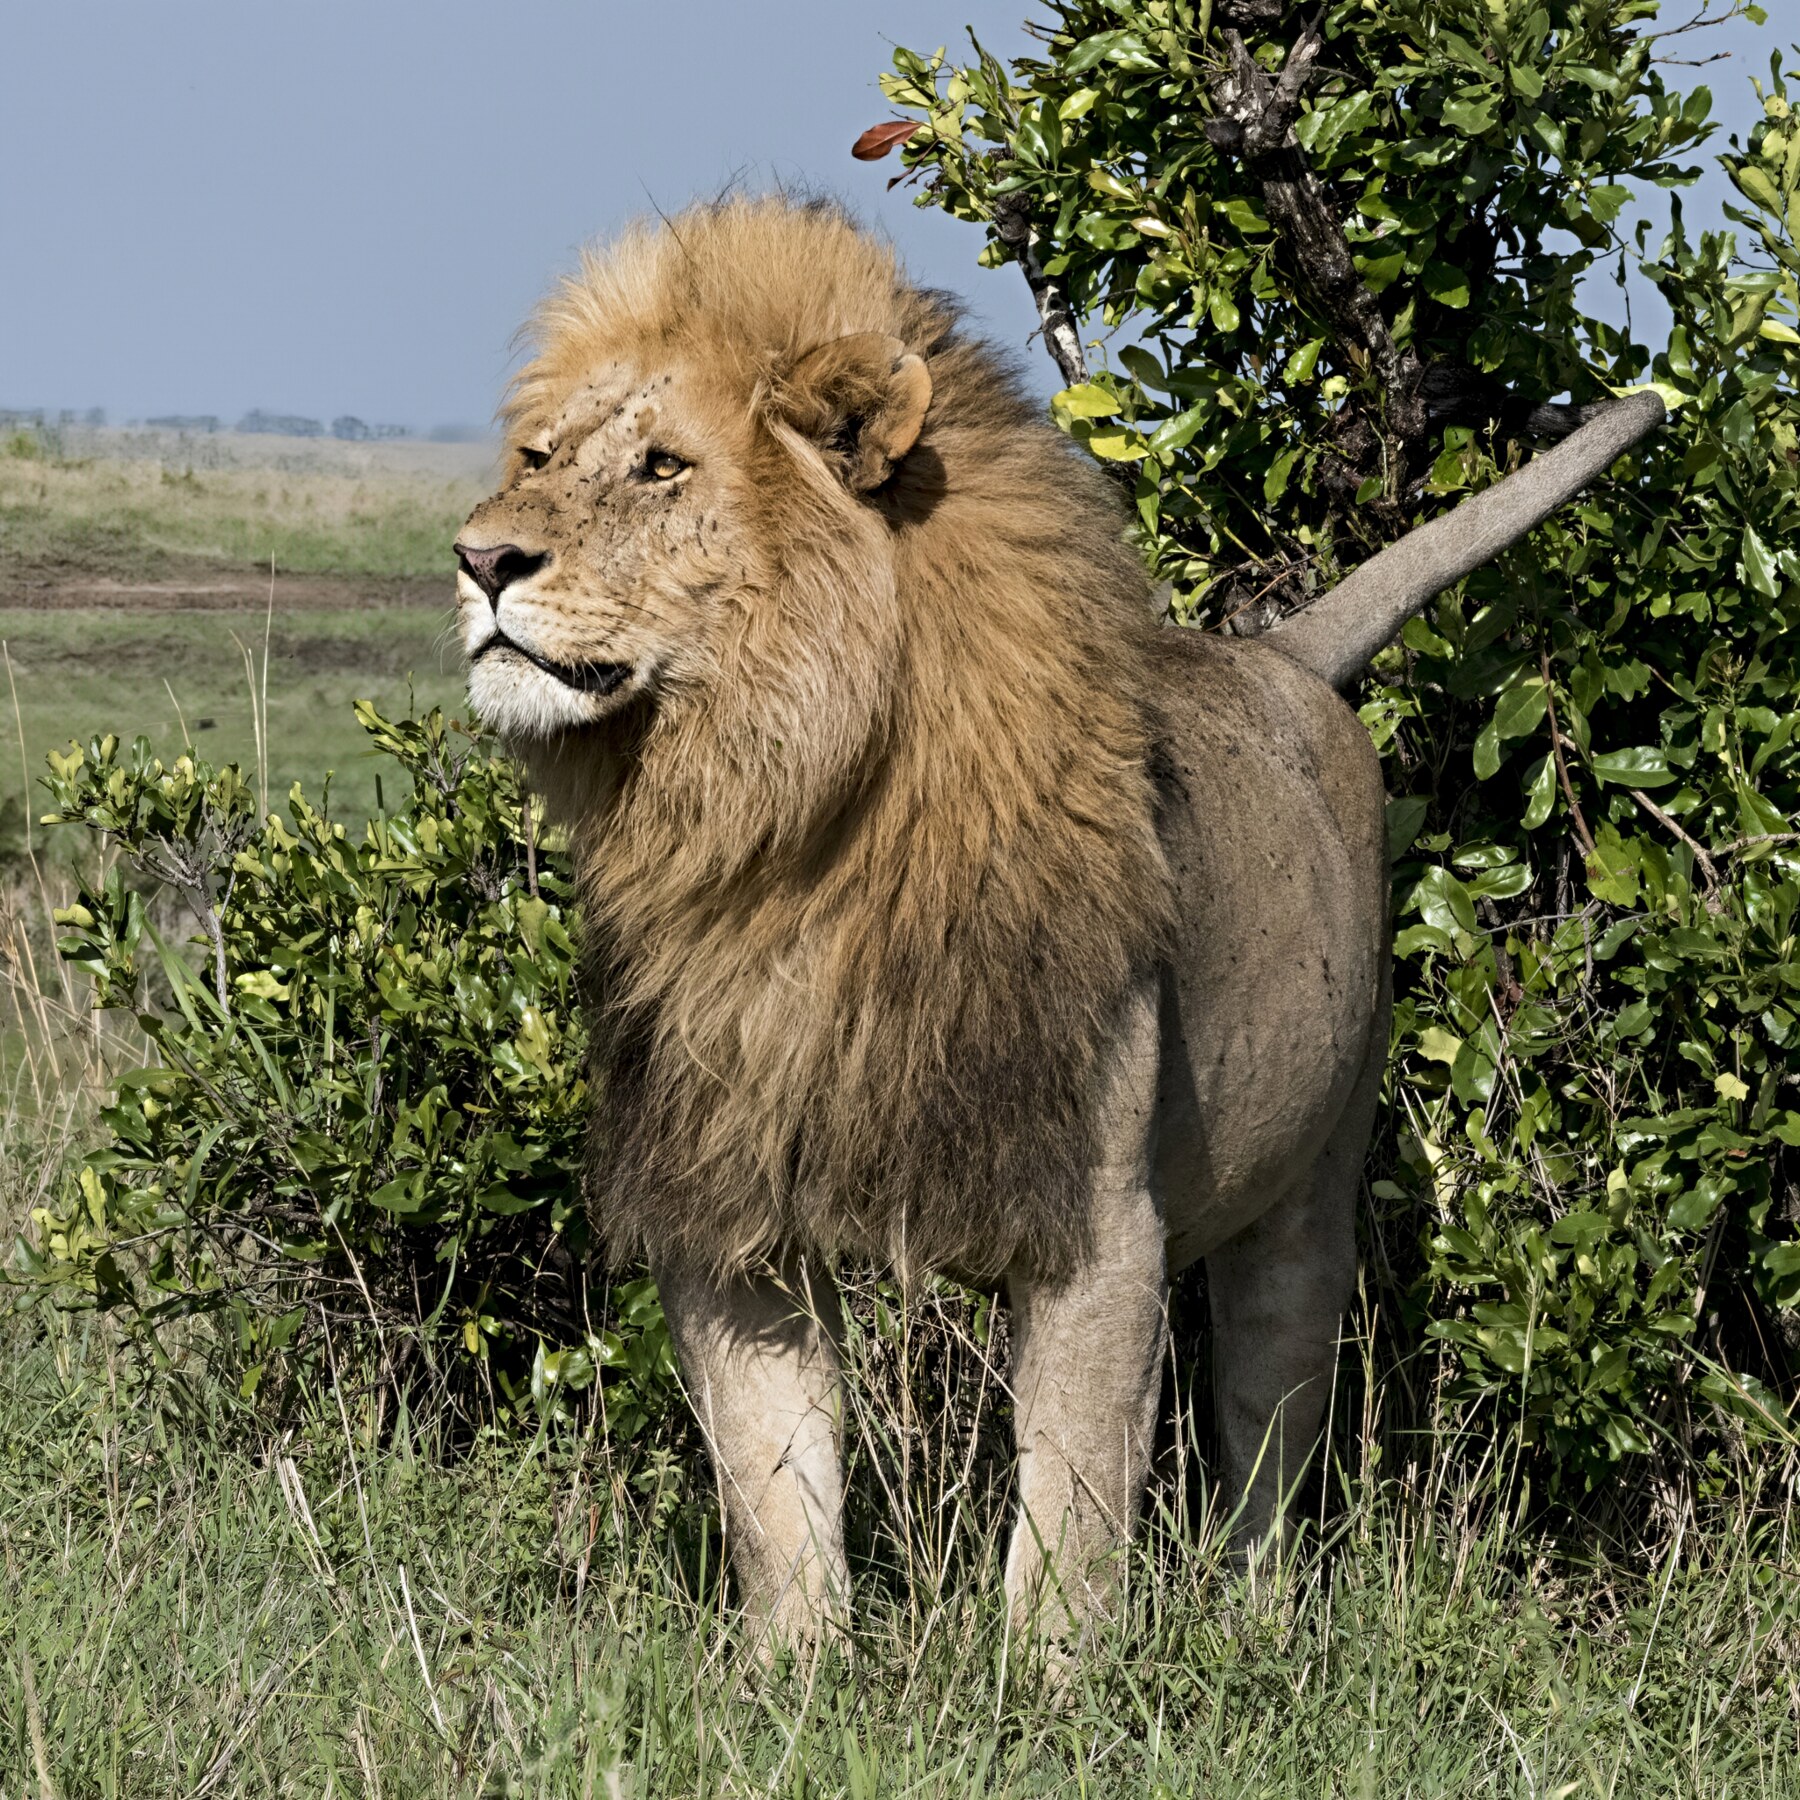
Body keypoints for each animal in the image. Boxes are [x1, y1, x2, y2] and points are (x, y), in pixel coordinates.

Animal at [455, 197, 1663, 1650]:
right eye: (537, 456)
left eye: (661, 467)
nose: (481, 560)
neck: (794, 831)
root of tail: (1276, 653)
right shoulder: (731, 1210)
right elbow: (775, 1492)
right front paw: (795, 1676)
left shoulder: (1099, 1223)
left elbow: (1075, 1512)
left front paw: (1047, 1684)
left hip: (1310, 1178)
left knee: (1273, 1415)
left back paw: (1253, 1628)